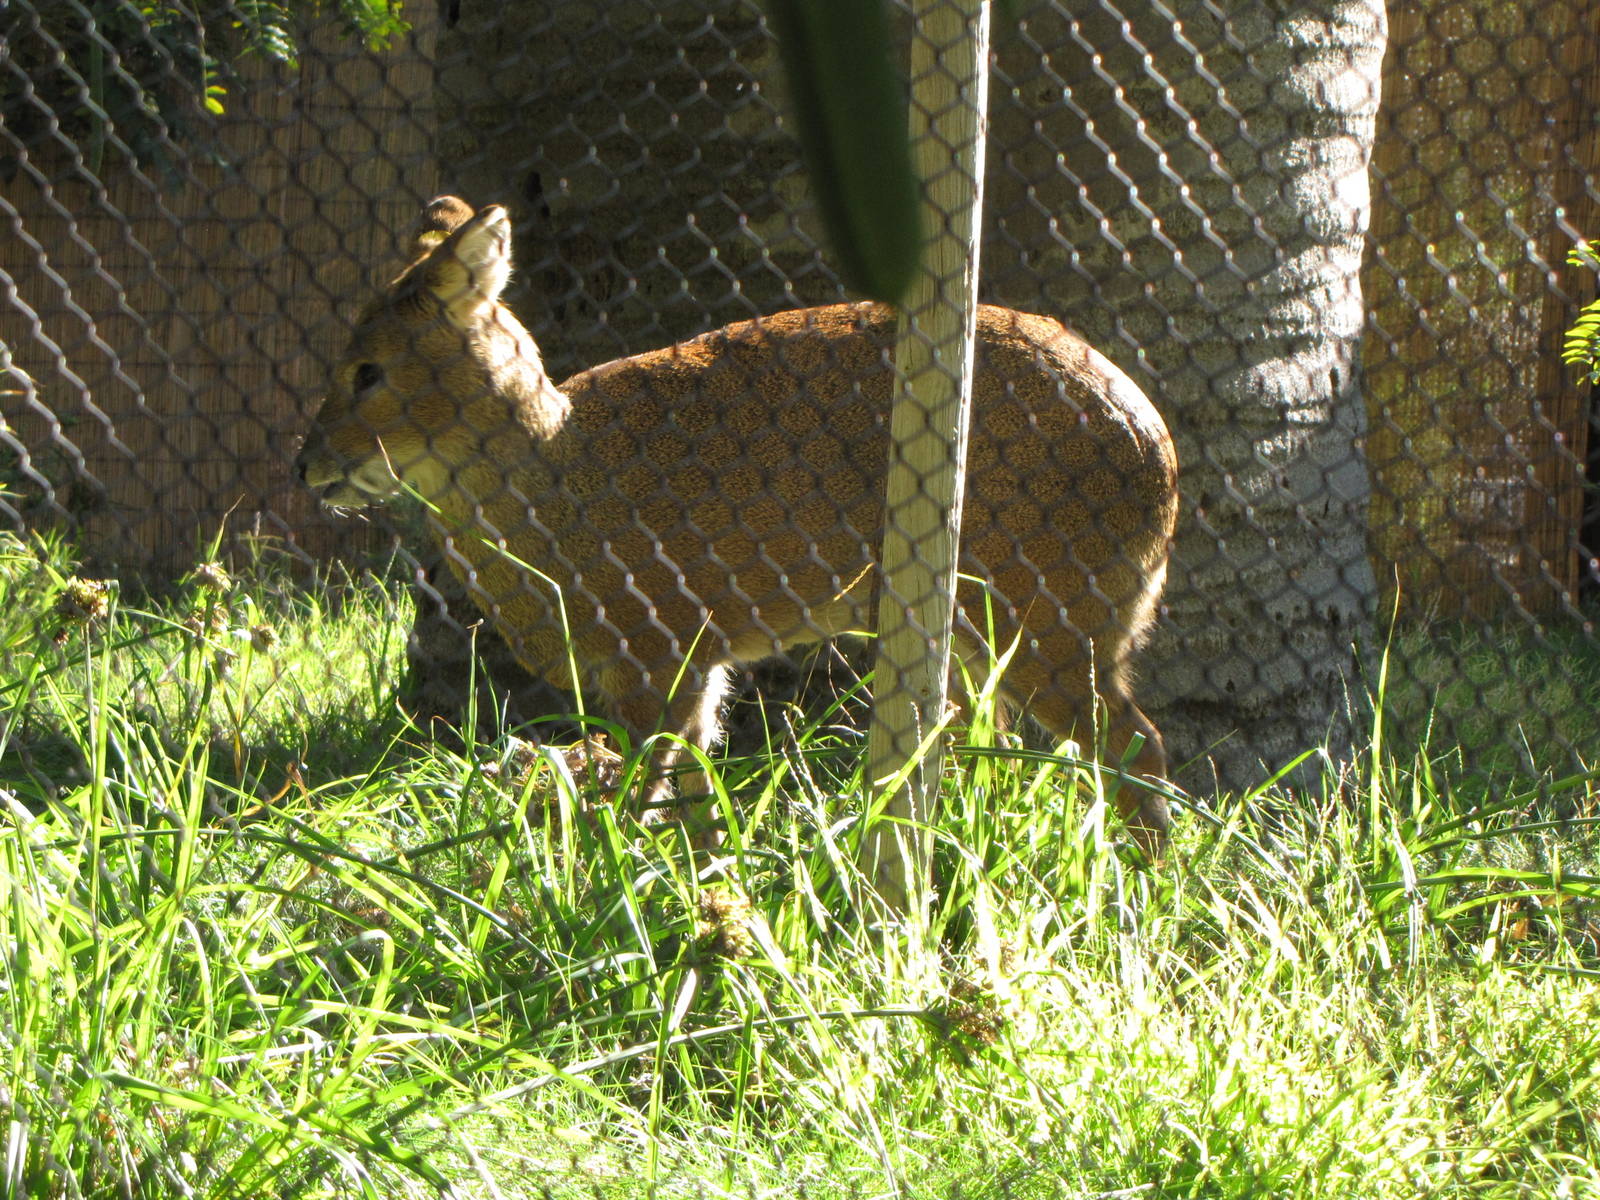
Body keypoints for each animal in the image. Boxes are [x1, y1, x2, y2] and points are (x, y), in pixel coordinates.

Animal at [296, 196, 1180, 851]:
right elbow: (695, 803)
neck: (555, 481)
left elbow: (641, 796)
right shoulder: (708, 665)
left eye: (369, 369)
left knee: (1137, 746)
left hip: (1051, 625)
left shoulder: (662, 658)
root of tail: (1161, 455)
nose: (306, 463)